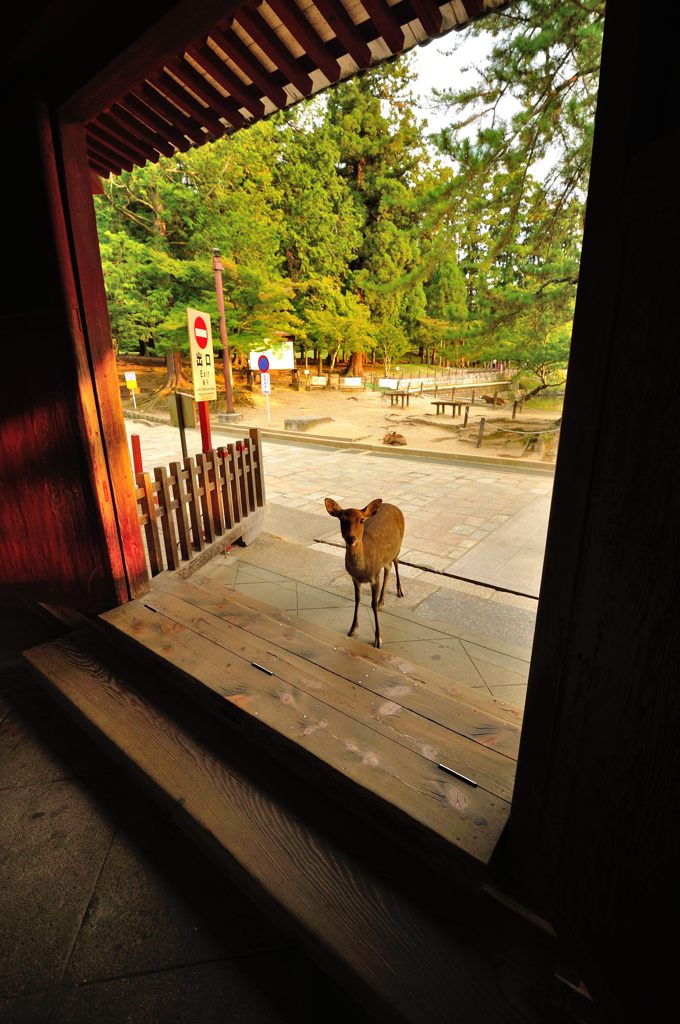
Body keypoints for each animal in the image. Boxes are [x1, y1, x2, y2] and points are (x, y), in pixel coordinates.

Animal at [323, 497, 403, 647]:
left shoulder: (374, 576)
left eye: (361, 520)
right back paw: (382, 601)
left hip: (398, 547)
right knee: (388, 567)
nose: (351, 538)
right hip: (386, 558)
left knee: (396, 562)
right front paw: (352, 629)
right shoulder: (354, 578)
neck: (362, 570)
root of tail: (394, 506)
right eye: (342, 519)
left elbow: (372, 604)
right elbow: (357, 599)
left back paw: (399, 591)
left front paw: (378, 639)